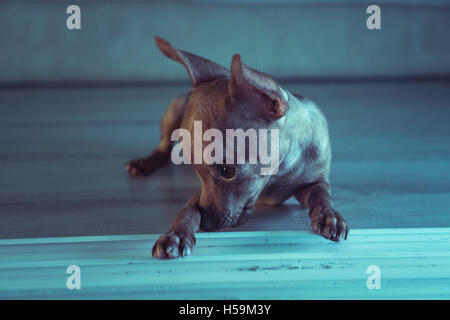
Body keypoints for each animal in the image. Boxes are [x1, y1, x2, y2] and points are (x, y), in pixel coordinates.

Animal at [125, 36, 350, 258]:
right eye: (196, 170)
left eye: (228, 171)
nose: (206, 224)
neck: (277, 172)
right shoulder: (199, 196)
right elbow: (188, 209)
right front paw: (176, 235)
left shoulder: (314, 182)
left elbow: (322, 195)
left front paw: (330, 215)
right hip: (175, 107)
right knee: (164, 146)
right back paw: (144, 163)